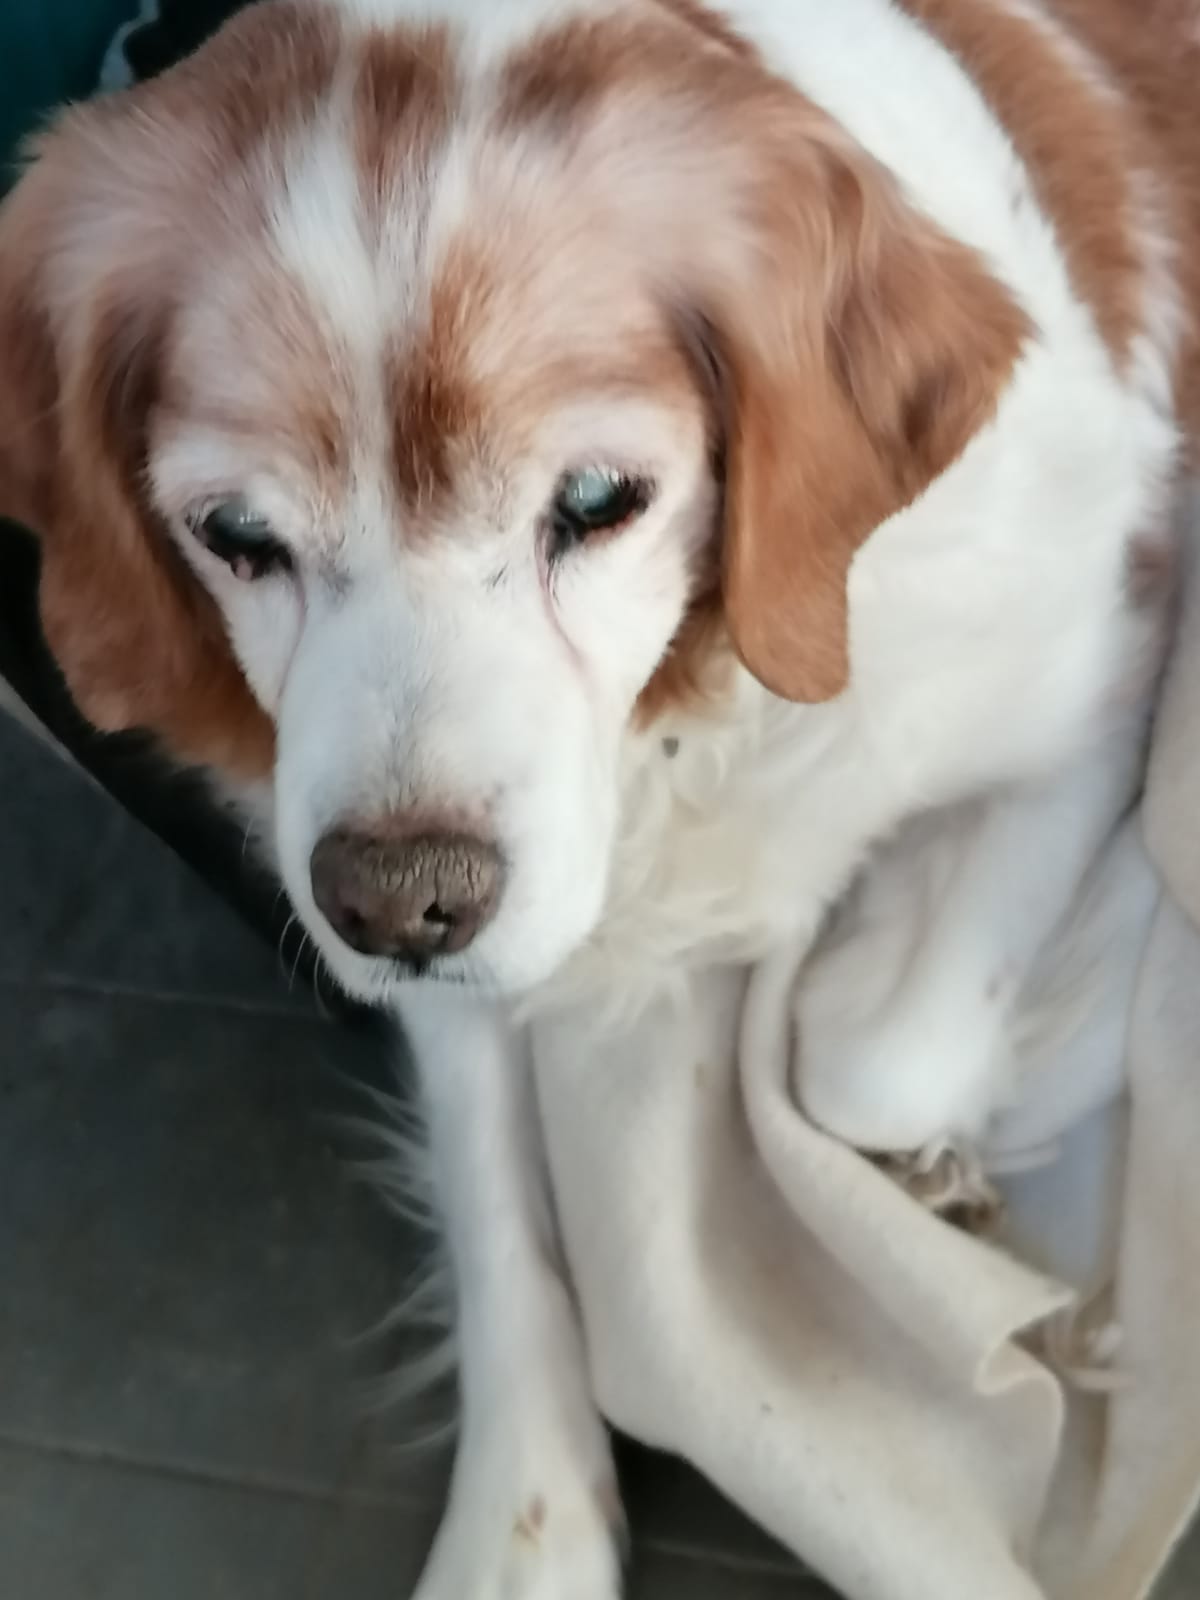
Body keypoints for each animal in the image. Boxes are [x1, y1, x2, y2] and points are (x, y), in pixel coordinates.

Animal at [1, 0, 1197, 1593]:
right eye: (235, 534)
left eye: (596, 503)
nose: (404, 907)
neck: (677, 723)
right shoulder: (417, 922)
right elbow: (499, 1205)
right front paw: (527, 1519)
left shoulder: (1104, 675)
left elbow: (867, 1060)